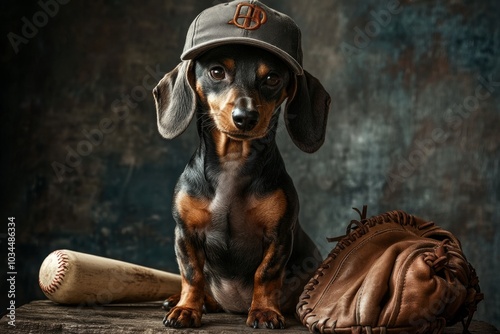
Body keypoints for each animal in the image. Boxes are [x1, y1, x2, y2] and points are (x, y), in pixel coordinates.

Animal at [152, 0, 332, 328]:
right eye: (216, 71)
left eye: (272, 78)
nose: (245, 117)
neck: (233, 163)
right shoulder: (184, 233)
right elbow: (192, 274)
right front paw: (187, 308)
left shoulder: (279, 236)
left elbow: (266, 274)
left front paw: (264, 311)